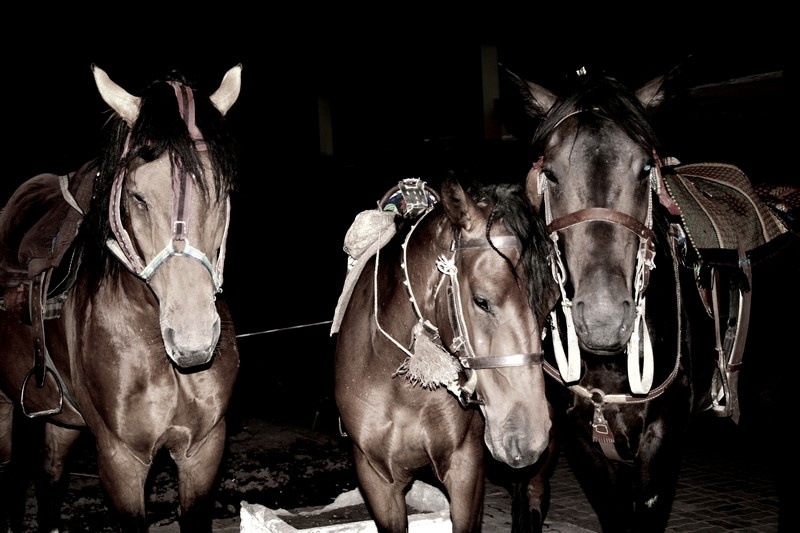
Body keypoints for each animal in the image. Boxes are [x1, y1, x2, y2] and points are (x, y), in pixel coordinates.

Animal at [0, 64, 243, 532]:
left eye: (223, 191)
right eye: (137, 195)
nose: (193, 341)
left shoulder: (202, 451)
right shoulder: (121, 462)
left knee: (50, 474)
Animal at [332, 176, 557, 532]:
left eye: (552, 304)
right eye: (481, 300)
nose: (528, 437)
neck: (403, 386)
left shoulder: (465, 468)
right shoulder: (377, 478)